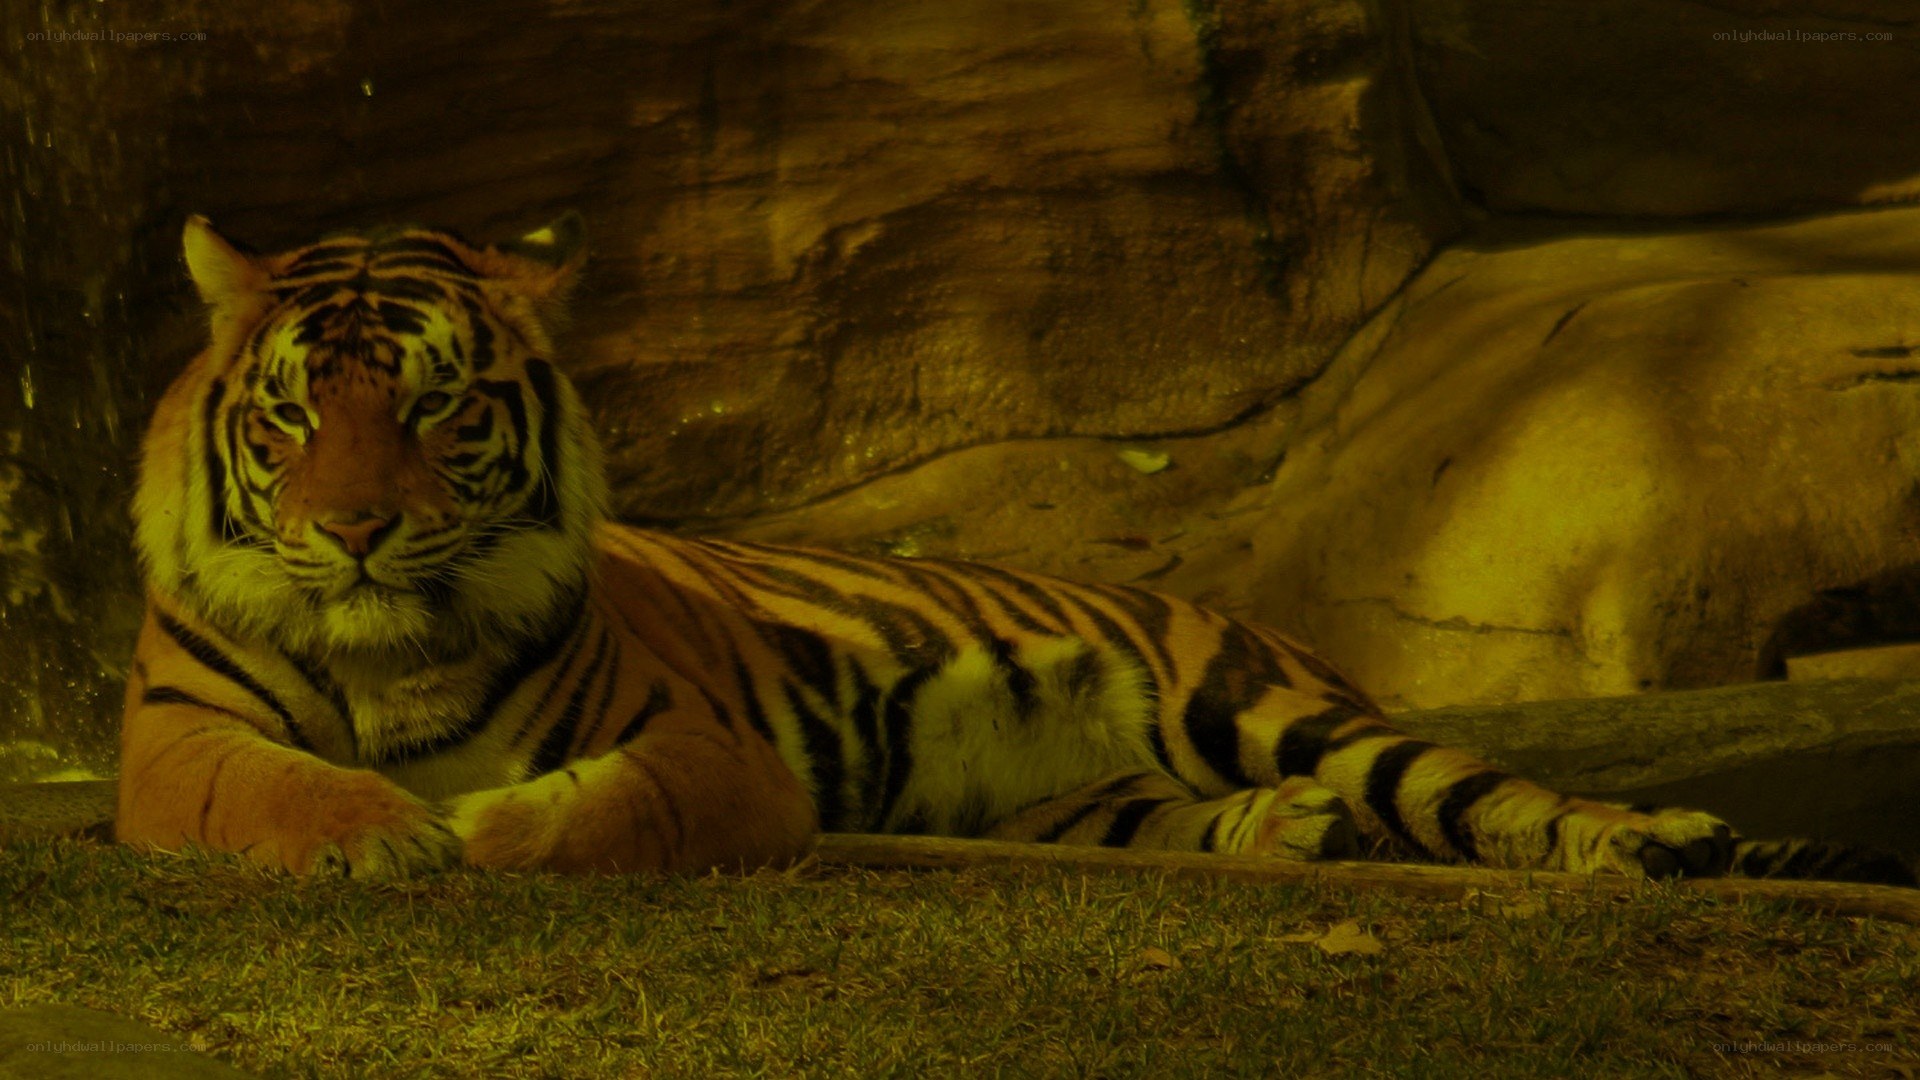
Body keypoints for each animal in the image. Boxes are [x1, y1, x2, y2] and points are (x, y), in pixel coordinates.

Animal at [115, 213, 1915, 888]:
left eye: (433, 408)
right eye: (294, 416)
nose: (353, 529)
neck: (392, 647)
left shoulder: (696, 751)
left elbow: (592, 806)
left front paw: (480, 827)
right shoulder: (174, 743)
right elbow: (275, 790)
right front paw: (381, 832)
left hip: (1271, 704)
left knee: (1498, 797)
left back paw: (1652, 843)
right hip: (1090, 796)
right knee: (1206, 819)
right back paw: (1286, 836)